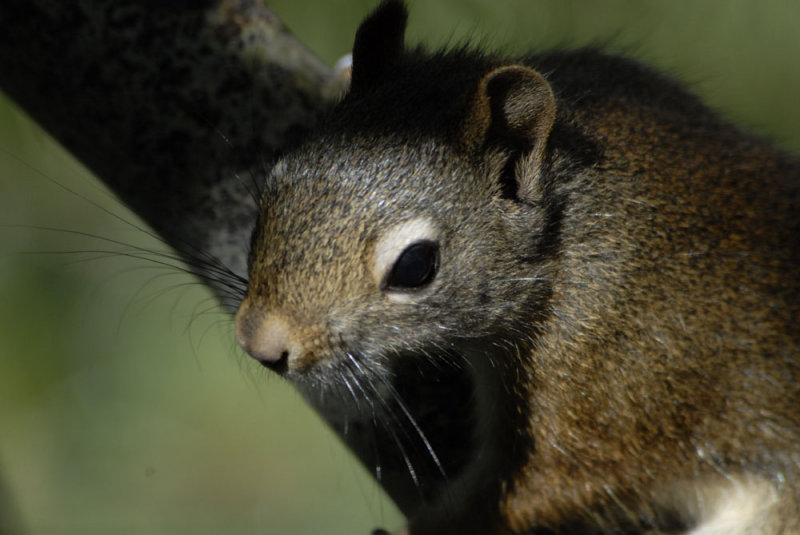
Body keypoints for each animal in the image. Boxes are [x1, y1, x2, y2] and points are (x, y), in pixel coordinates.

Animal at [234, 2, 796, 532]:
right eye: (271, 191)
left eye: (416, 266)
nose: (261, 343)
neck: (567, 244)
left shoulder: (614, 385)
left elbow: (545, 485)